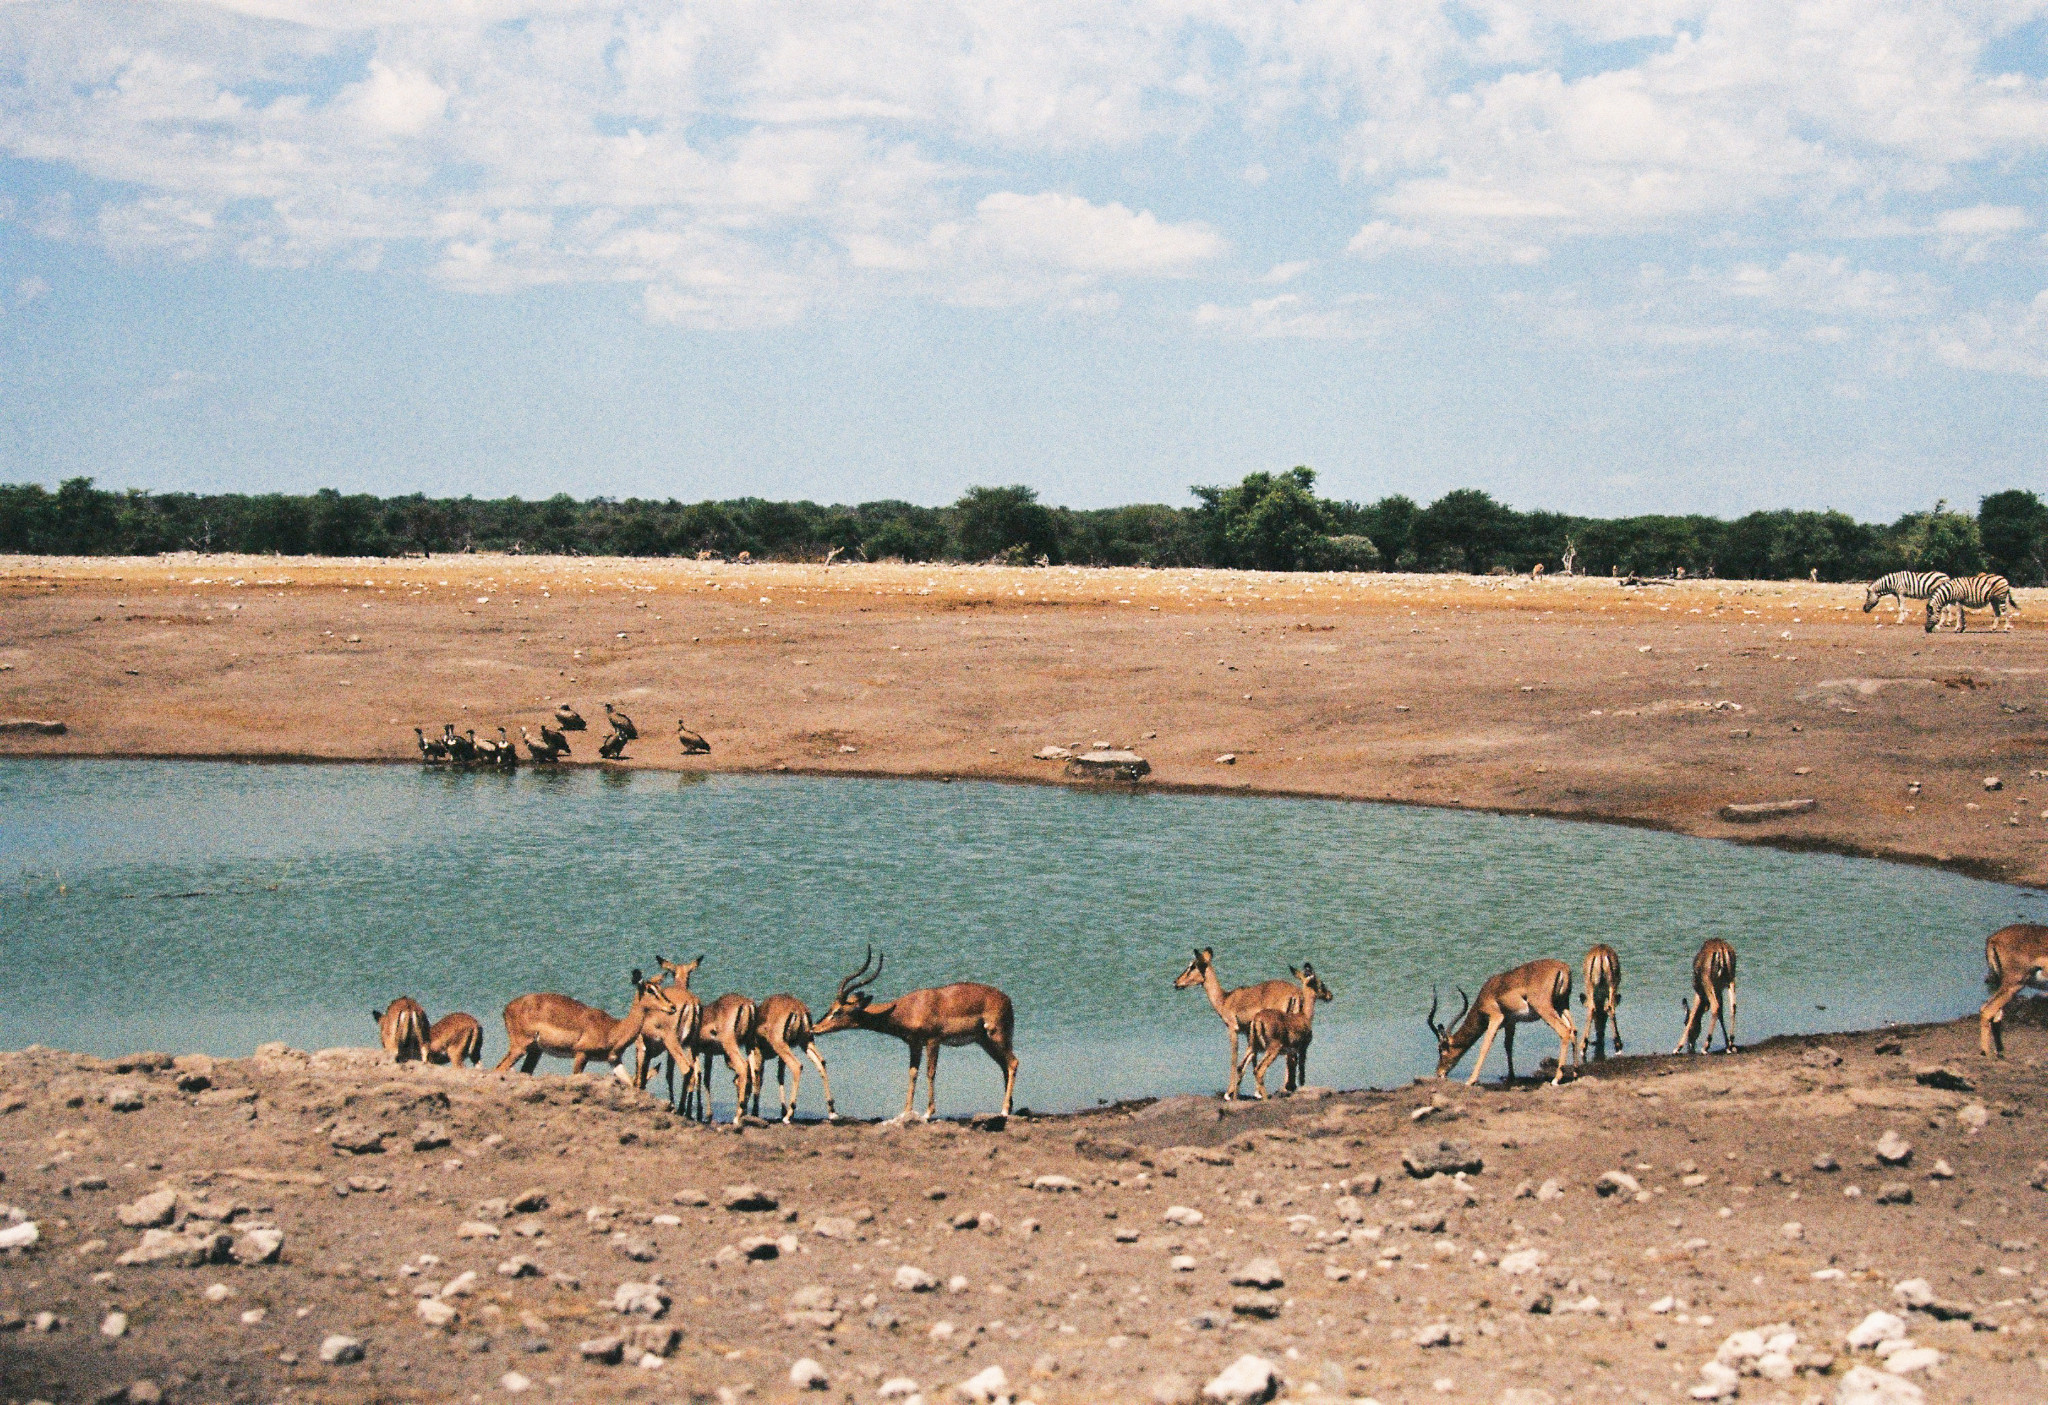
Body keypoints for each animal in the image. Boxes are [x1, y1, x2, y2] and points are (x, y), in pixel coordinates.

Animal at [806, 950, 1015, 1130]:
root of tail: (1007, 1000)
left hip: (997, 1036)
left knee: (1013, 1063)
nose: (815, 1028)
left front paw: (927, 1113)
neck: (908, 1008)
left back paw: (1005, 1110)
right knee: (1005, 1066)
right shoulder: (914, 1044)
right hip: (985, 1042)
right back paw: (1009, 1108)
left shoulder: (933, 1041)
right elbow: (912, 1073)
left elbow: (930, 1073)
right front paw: (906, 1112)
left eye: (838, 1011)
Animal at [1179, 950, 1302, 1105]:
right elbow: (1253, 1056)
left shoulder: (1233, 1029)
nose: (1176, 982)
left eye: (1193, 966)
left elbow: (1234, 1057)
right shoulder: (1248, 1032)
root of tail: (1295, 993)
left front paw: (1228, 1094)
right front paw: (1256, 1093)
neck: (1225, 1000)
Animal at [1236, 966, 1335, 1097]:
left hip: (1253, 1047)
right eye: (1321, 983)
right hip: (1273, 1050)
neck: (1304, 1016)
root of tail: (1257, 1019)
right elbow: (1301, 1072)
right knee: (1259, 1070)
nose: (1330, 995)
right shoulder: (1303, 1048)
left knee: (1240, 1067)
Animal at [1425, 966, 1581, 1089]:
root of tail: (1562, 968)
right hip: (1562, 1006)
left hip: (1545, 1010)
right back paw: (1575, 1073)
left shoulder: (1495, 1018)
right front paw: (1510, 1076)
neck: (1488, 993)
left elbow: (1485, 1046)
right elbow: (1508, 1045)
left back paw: (1556, 1079)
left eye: (1441, 1049)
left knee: (1564, 1032)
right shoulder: (1511, 1022)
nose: (1439, 1073)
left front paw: (1470, 1080)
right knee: (1573, 1030)